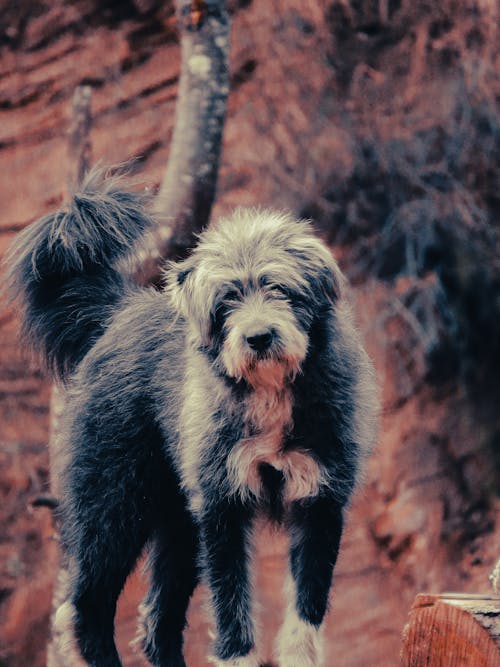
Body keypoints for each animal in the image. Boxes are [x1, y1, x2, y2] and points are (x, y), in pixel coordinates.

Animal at [4, 170, 378, 664]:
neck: (269, 390)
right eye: (227, 299)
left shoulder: (320, 498)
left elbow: (306, 606)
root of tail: (118, 313)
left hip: (177, 518)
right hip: (114, 498)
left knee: (156, 620)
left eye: (278, 287)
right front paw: (237, 654)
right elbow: (231, 601)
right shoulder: (222, 503)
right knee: (85, 605)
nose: (259, 337)